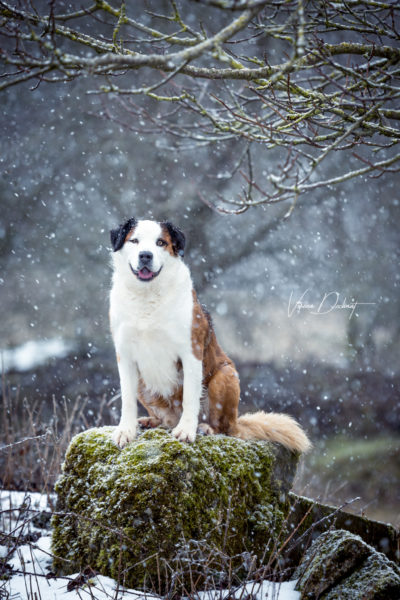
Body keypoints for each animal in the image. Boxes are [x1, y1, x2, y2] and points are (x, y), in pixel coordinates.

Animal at [109, 218, 312, 452]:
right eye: (134, 240)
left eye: (161, 242)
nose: (145, 255)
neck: (147, 296)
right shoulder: (125, 356)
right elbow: (127, 399)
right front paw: (126, 431)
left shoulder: (191, 352)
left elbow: (189, 397)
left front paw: (186, 431)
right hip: (144, 385)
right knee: (164, 417)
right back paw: (151, 421)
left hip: (225, 376)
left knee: (223, 427)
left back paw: (205, 428)